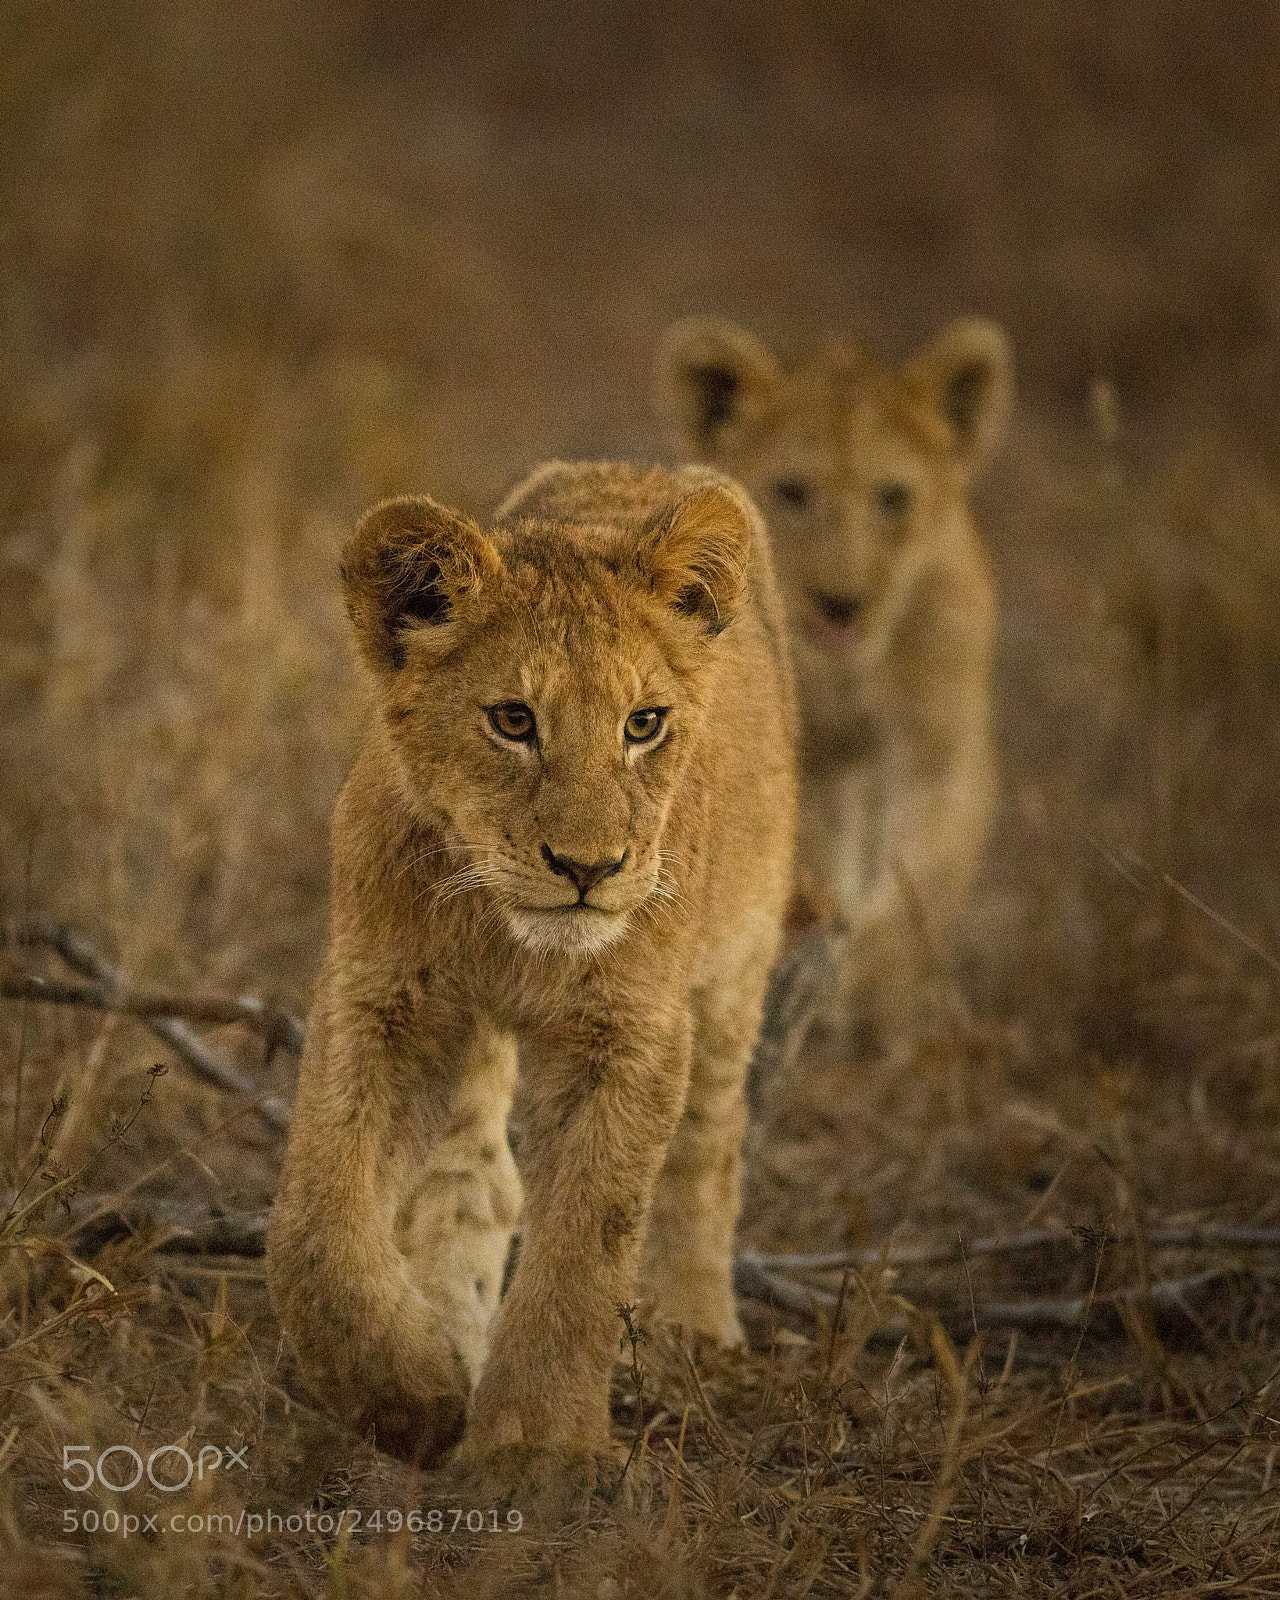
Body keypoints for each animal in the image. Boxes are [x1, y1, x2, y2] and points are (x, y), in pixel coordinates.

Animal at [266, 460, 796, 1501]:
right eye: (513, 720)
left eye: (644, 724)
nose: (589, 868)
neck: (510, 936)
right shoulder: (384, 997)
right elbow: (316, 1225)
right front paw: (410, 1394)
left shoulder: (631, 1032)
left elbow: (588, 1240)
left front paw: (535, 1448)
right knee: (475, 1175)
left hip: (735, 972)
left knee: (711, 1143)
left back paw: (693, 1333)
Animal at [655, 316, 1012, 1041]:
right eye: (793, 492)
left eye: (893, 497)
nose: (842, 602)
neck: (852, 675)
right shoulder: (805, 758)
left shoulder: (937, 749)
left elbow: (920, 877)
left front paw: (868, 979)